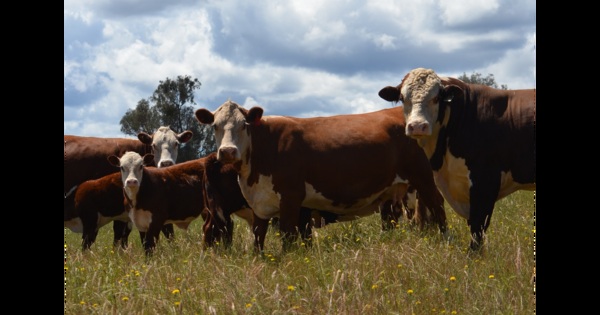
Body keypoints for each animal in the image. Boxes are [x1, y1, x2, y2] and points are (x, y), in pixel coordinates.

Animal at [108, 151, 253, 256]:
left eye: (141, 166)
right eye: (122, 167)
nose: (131, 181)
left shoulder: (156, 221)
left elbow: (150, 245)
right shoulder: (140, 223)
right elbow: (146, 246)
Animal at [195, 100, 448, 253]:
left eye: (243, 125)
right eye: (215, 126)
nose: (227, 151)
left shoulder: (291, 200)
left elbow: (289, 238)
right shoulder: (259, 204)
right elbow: (258, 239)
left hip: (423, 177)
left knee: (437, 205)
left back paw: (446, 239)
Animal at [378, 67, 536, 252]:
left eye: (436, 98)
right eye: (403, 98)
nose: (417, 126)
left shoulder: (485, 180)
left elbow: (477, 225)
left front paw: (474, 255)